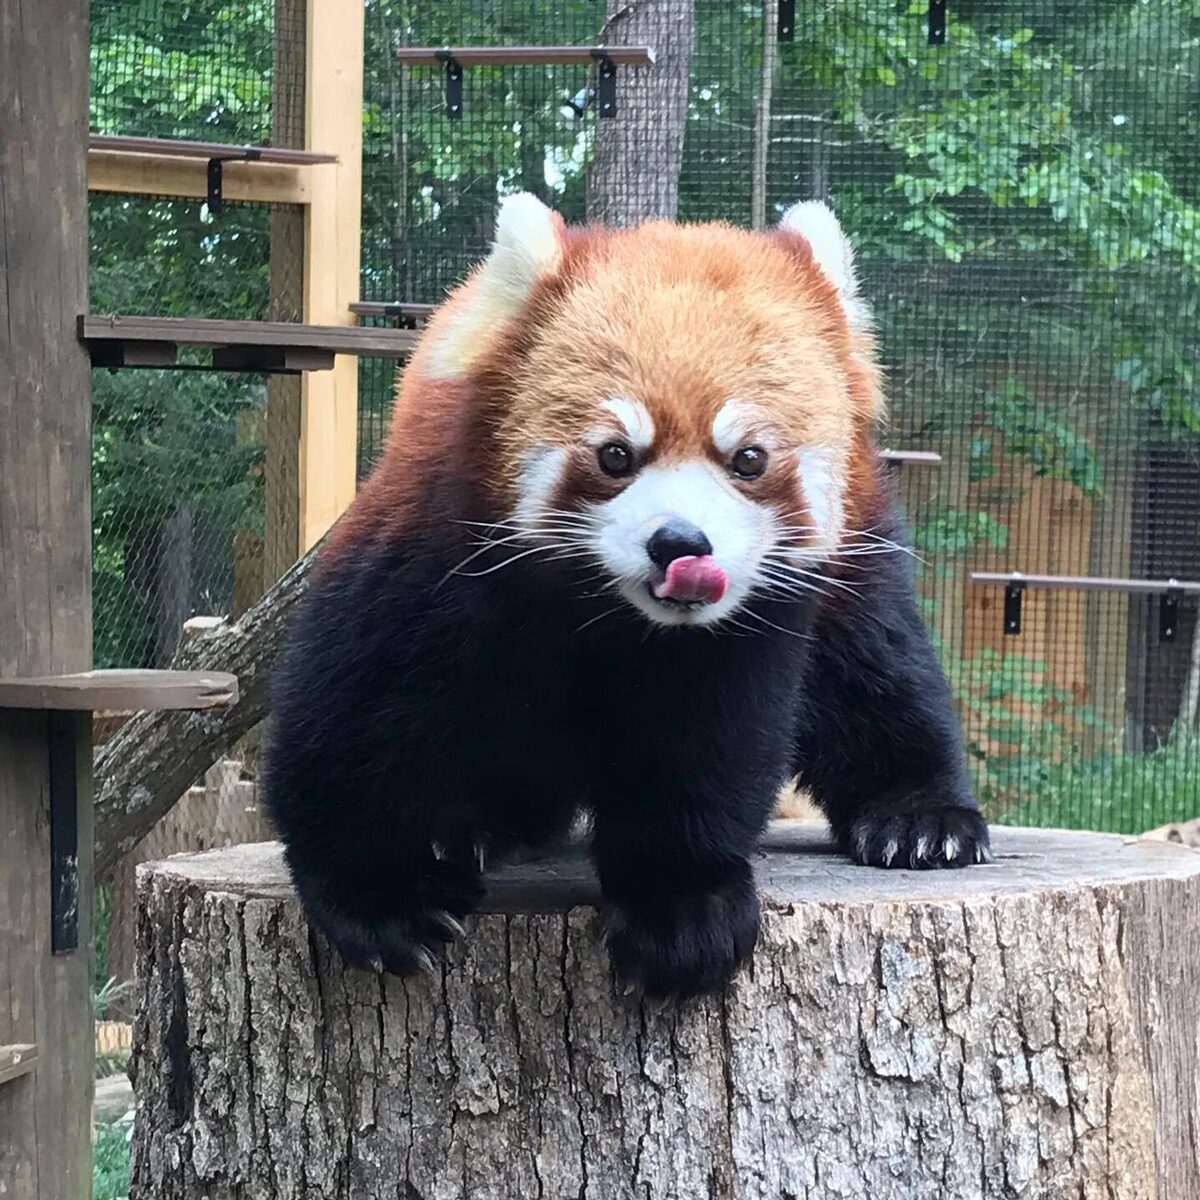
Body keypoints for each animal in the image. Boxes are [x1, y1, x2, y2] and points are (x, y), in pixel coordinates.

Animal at [263, 194, 990, 999]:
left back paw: (919, 817)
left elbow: (701, 743)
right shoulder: (434, 549)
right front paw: (380, 895)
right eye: (616, 454)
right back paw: (481, 826)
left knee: (875, 662)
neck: (611, 607)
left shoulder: (742, 627)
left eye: (749, 459)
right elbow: (359, 710)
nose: (680, 544)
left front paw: (680, 906)